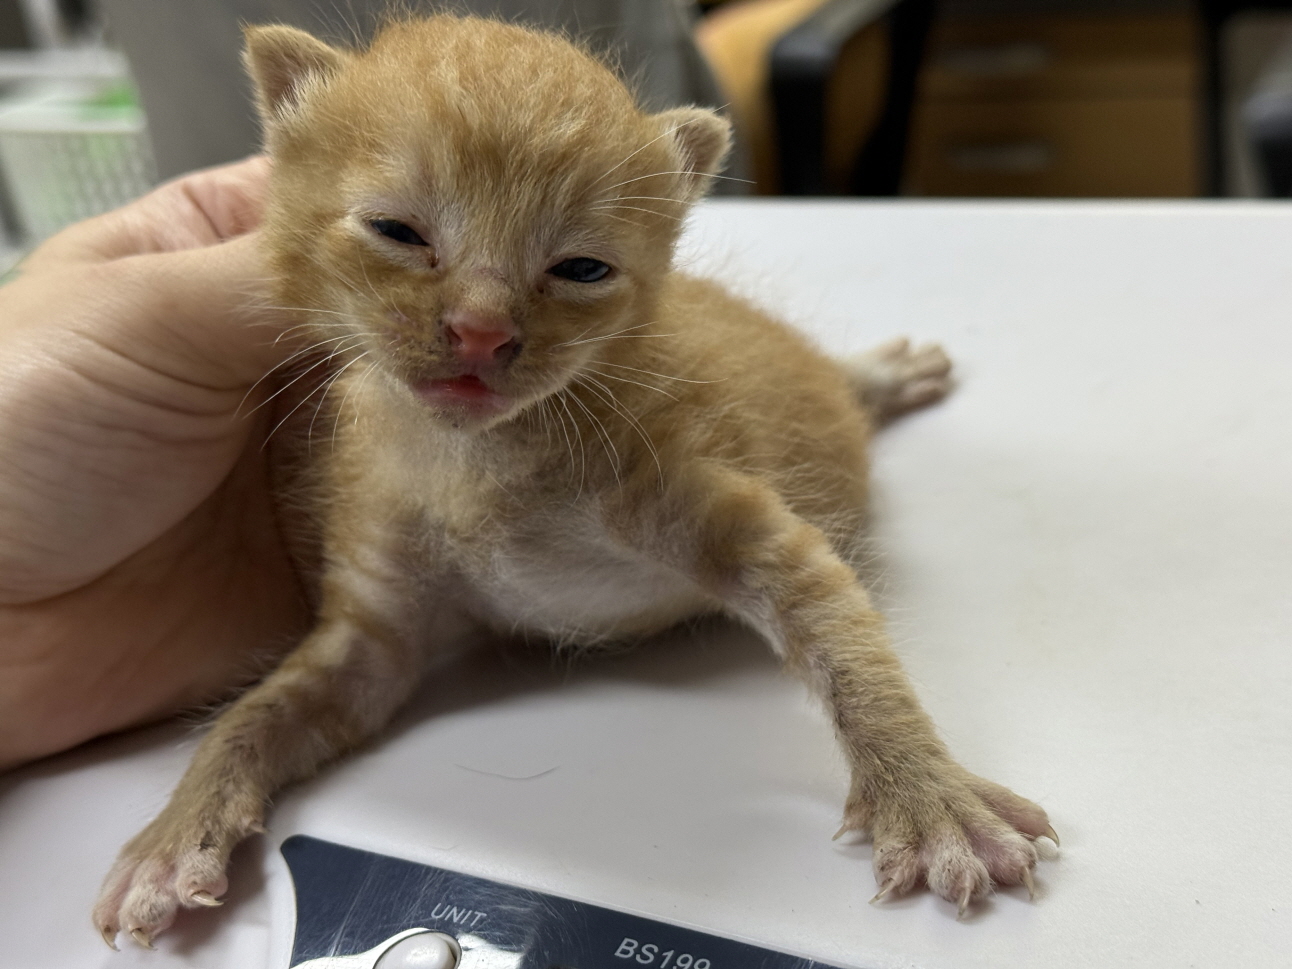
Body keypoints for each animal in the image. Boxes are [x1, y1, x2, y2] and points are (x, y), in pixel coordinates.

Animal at [95, 15, 1054, 950]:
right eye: (398, 231)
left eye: (580, 268)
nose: (481, 331)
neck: (478, 460)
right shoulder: (370, 638)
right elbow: (256, 713)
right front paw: (176, 830)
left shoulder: (722, 509)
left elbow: (850, 653)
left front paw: (929, 797)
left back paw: (877, 376)